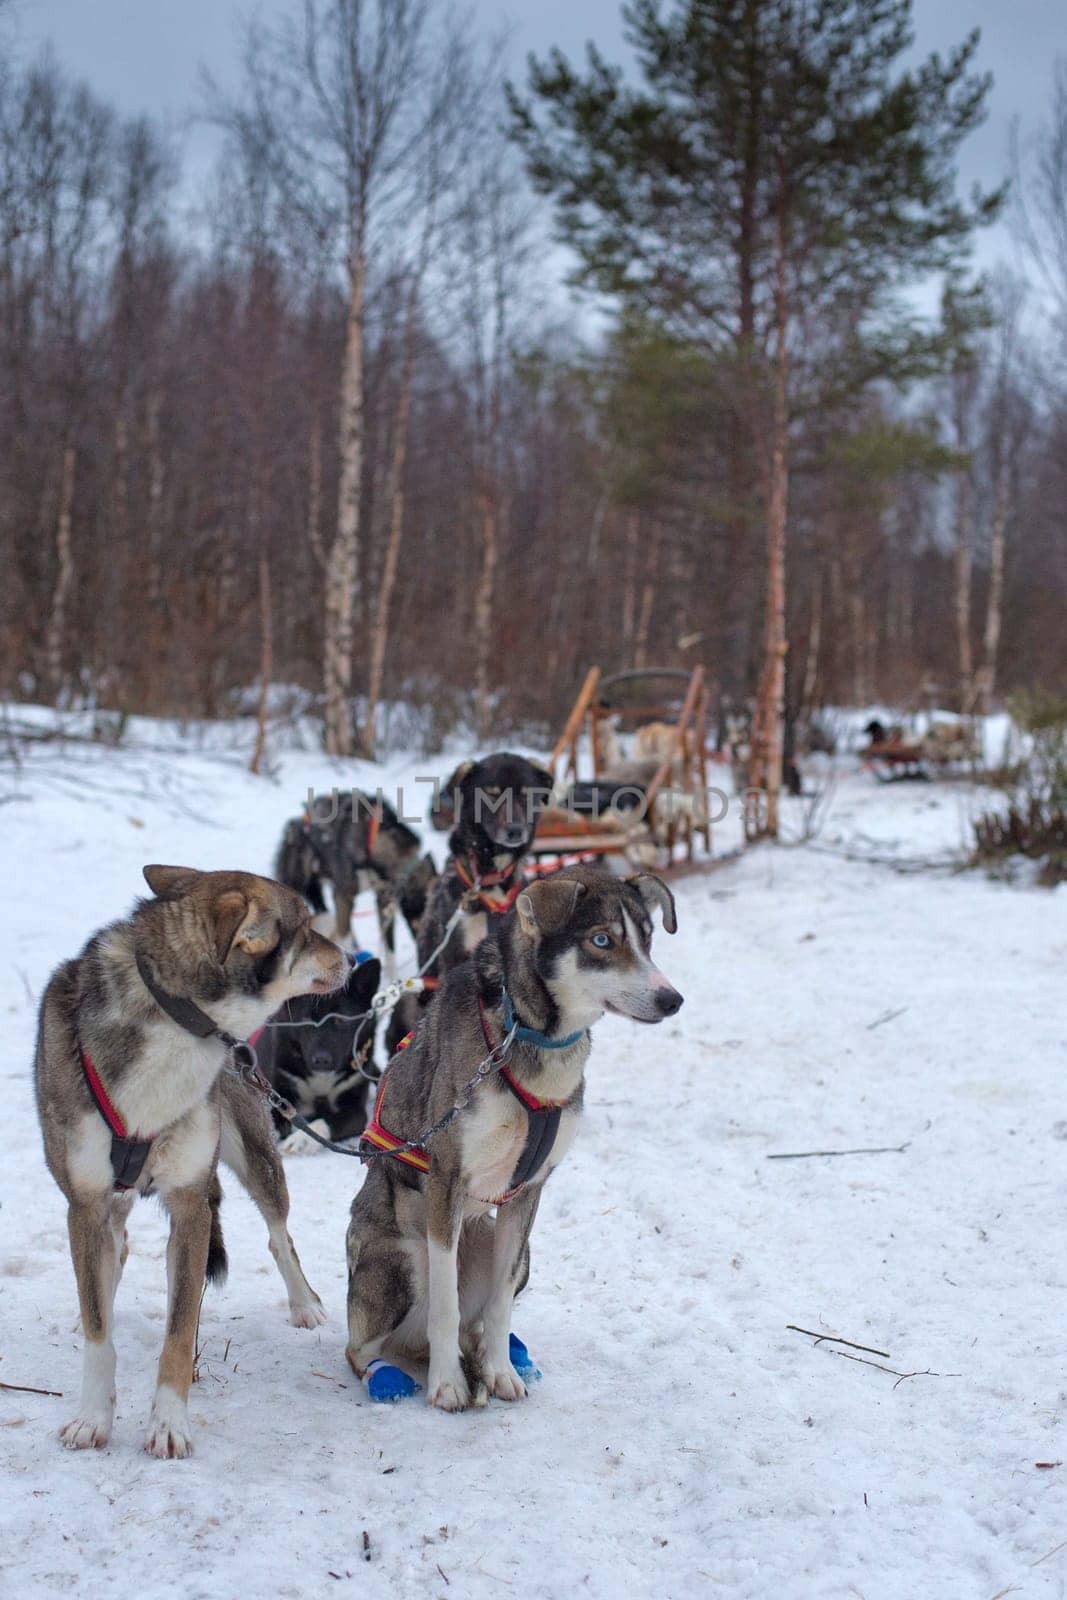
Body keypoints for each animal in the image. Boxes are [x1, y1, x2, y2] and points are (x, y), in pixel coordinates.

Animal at [34, 870, 347, 1459]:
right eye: (303, 927)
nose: (350, 959)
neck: (173, 1019)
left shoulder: (189, 1204)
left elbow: (180, 1332)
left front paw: (168, 1424)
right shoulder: (85, 1204)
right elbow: (98, 1328)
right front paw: (93, 1416)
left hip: (257, 1159)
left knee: (279, 1236)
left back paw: (305, 1303)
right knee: (114, 1255)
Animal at [348, 870, 684, 1408]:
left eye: (648, 940)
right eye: (602, 940)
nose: (671, 999)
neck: (524, 1032)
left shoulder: (527, 1193)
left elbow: (500, 1305)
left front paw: (501, 1371)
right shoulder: (446, 1182)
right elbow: (445, 1306)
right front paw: (447, 1383)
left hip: (521, 1254)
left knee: (478, 1322)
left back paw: (496, 1357)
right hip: (402, 1258)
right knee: (361, 1346)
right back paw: (389, 1373)